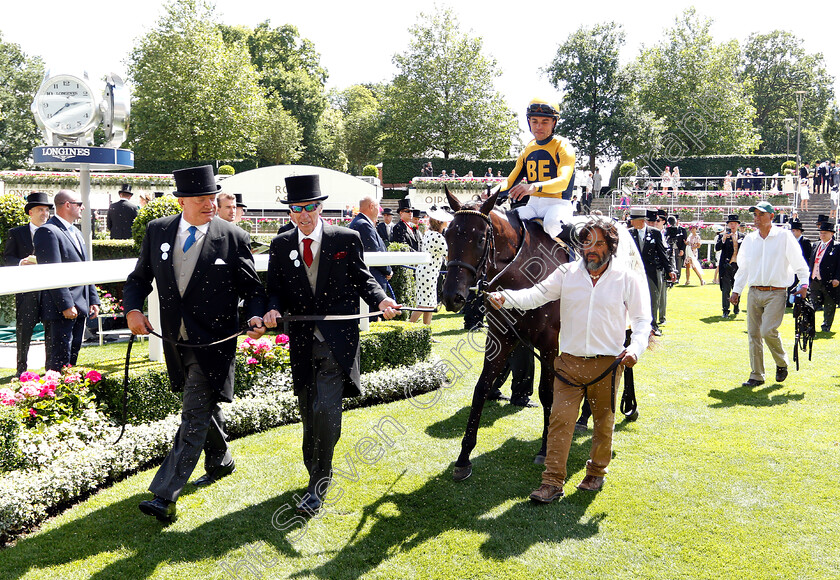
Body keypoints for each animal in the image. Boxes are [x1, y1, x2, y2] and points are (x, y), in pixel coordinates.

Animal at [440, 187, 572, 480]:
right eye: (447, 234)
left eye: (480, 238)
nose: (453, 296)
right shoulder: (500, 338)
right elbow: (481, 388)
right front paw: (464, 457)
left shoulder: (549, 343)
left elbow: (547, 393)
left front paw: (545, 448)